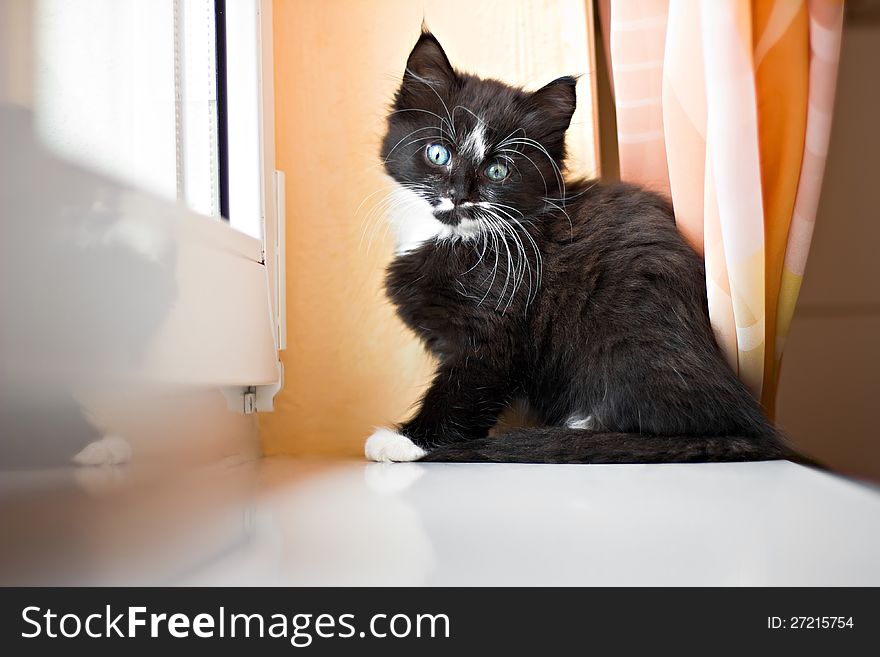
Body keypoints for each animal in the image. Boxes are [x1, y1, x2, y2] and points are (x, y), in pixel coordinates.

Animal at [364, 29, 796, 462]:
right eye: (438, 153)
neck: (459, 238)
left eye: (498, 170)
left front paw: (407, 441)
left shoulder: (493, 326)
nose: (458, 195)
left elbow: (463, 391)